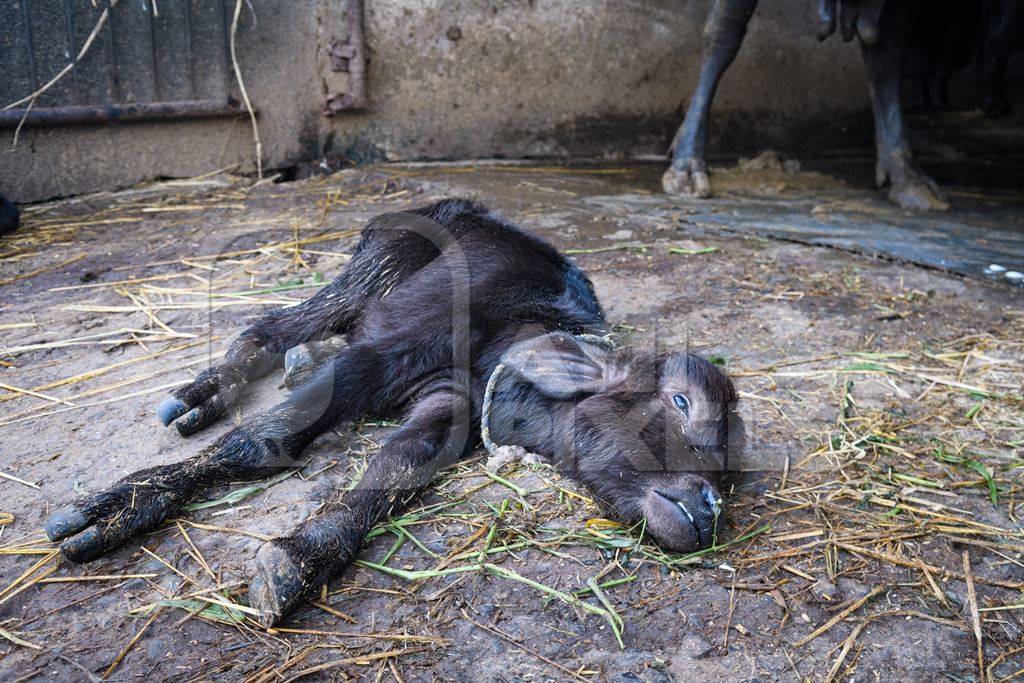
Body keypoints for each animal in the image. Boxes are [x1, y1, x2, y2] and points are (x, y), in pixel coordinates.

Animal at [44, 197, 741, 626]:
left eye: (732, 466)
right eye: (681, 399)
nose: (708, 509)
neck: (506, 333)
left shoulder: (447, 409)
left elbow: (394, 471)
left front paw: (300, 557)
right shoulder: (381, 355)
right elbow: (263, 439)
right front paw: (118, 508)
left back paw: (291, 362)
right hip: (374, 269)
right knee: (268, 326)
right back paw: (203, 396)